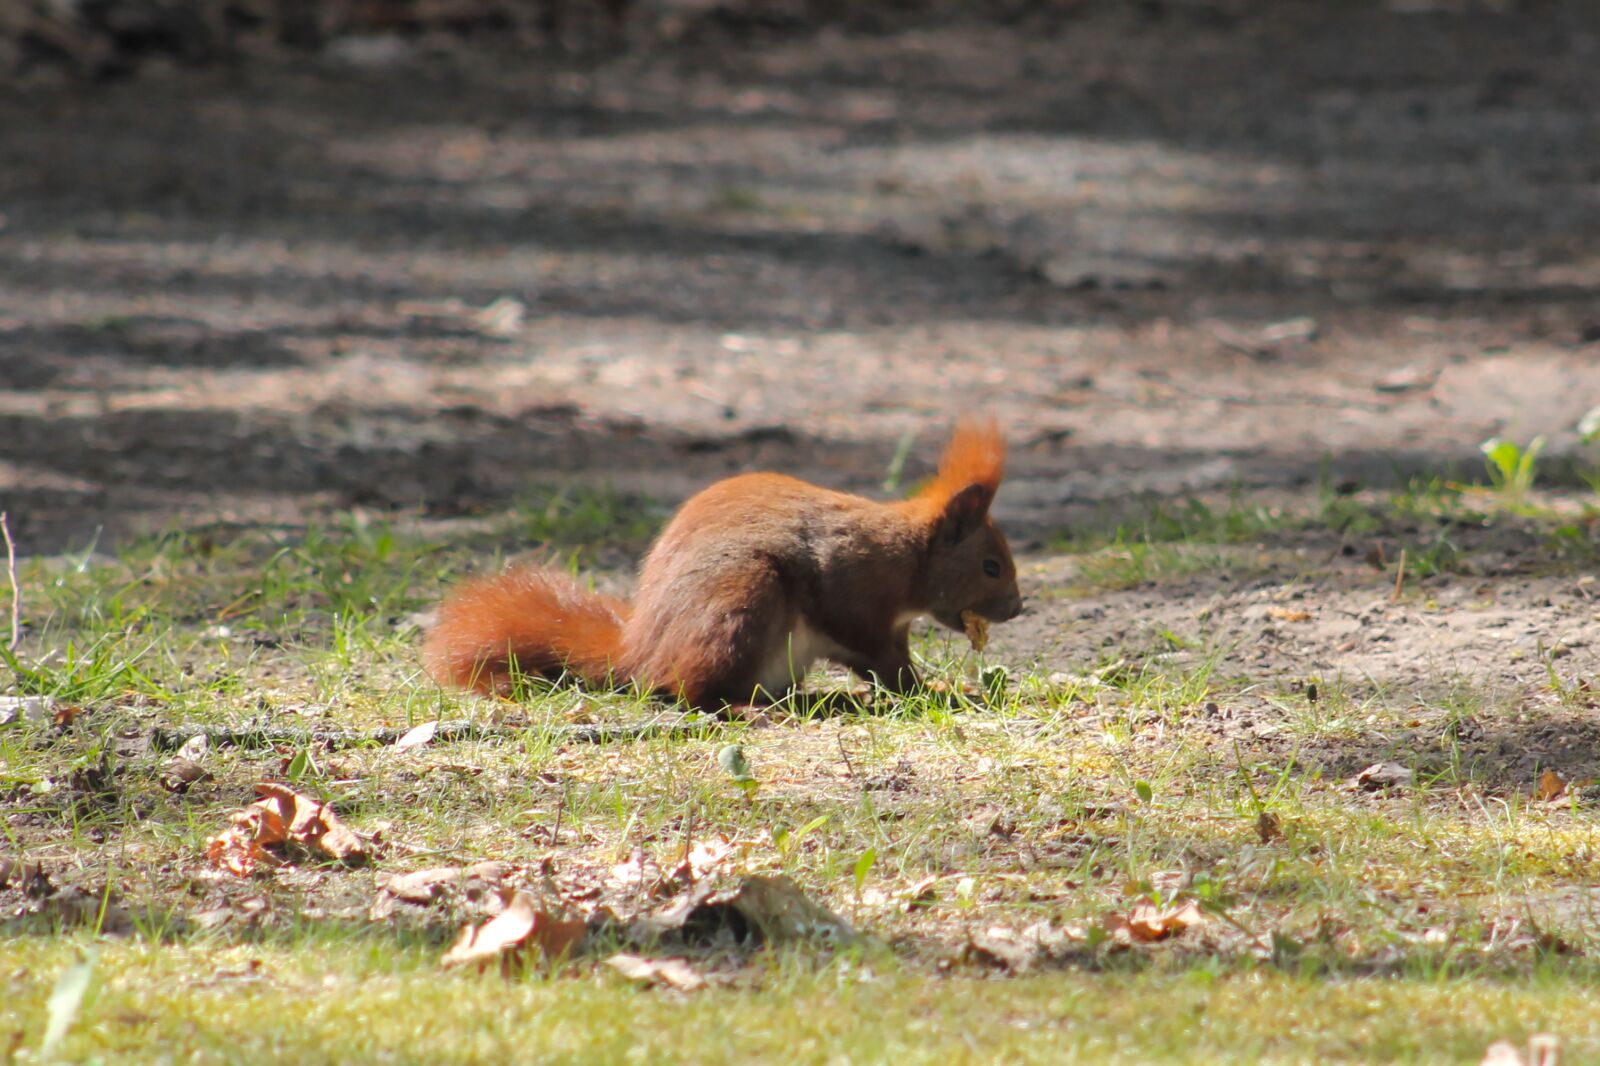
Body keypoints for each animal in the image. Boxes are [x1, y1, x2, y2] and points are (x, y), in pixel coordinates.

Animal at [422, 420, 1023, 711]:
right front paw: (934, 692)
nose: (1018, 608)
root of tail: (640, 654)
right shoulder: (853, 590)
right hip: (740, 603)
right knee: (693, 693)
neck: (907, 554)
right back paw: (748, 710)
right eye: (991, 566)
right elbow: (880, 656)